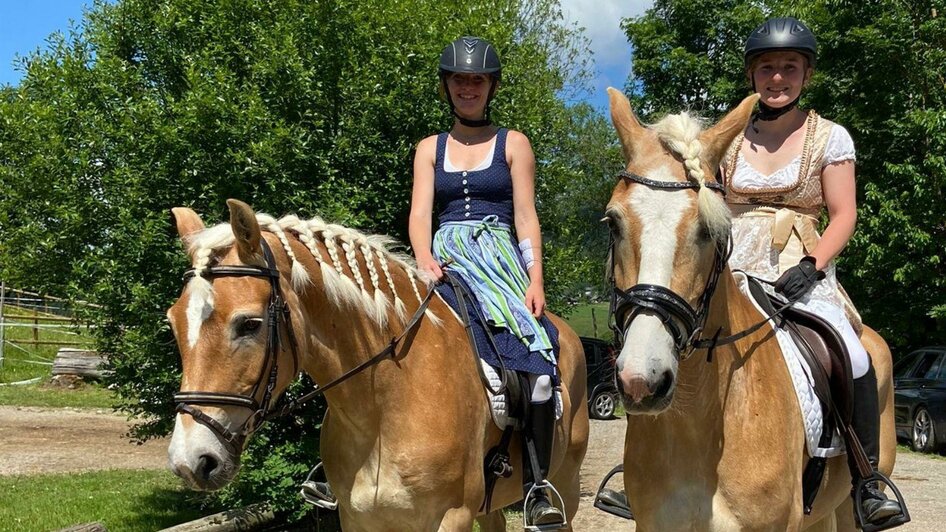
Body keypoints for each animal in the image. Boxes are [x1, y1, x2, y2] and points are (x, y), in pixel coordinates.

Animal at [165, 201, 588, 532]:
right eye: (173, 323)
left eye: (249, 324)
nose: (191, 461)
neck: (385, 403)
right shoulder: (360, 518)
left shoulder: (451, 517)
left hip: (564, 487)